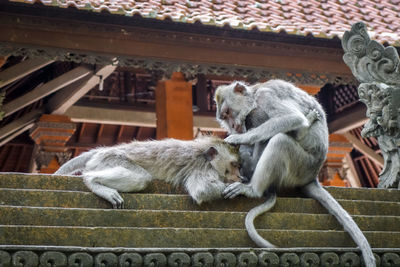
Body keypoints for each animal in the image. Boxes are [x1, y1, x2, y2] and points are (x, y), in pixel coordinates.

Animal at [54, 137, 241, 208]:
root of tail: (105, 149)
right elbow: (204, 189)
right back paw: (93, 182)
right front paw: (239, 188)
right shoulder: (202, 168)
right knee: (142, 178)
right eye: (234, 164)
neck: (203, 153)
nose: (239, 175)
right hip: (111, 158)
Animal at [216, 79, 376, 267]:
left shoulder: (266, 96)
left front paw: (239, 138)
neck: (254, 95)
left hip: (300, 166)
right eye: (224, 117)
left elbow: (291, 118)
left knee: (280, 139)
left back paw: (253, 189)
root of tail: (313, 176)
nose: (233, 126)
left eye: (227, 112)